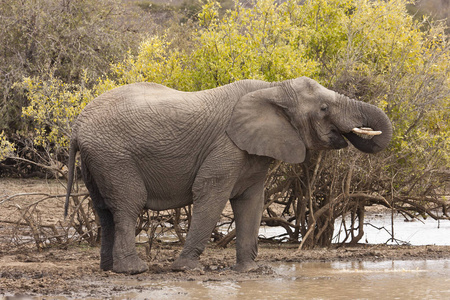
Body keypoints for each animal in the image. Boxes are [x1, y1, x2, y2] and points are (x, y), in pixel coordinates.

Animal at [63, 75, 390, 274]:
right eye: (323, 108)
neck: (273, 87)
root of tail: (77, 127)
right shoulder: (226, 146)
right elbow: (211, 194)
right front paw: (187, 269)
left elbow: (251, 202)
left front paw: (249, 271)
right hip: (115, 157)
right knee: (128, 205)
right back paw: (134, 270)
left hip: (98, 160)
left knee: (104, 209)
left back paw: (108, 269)